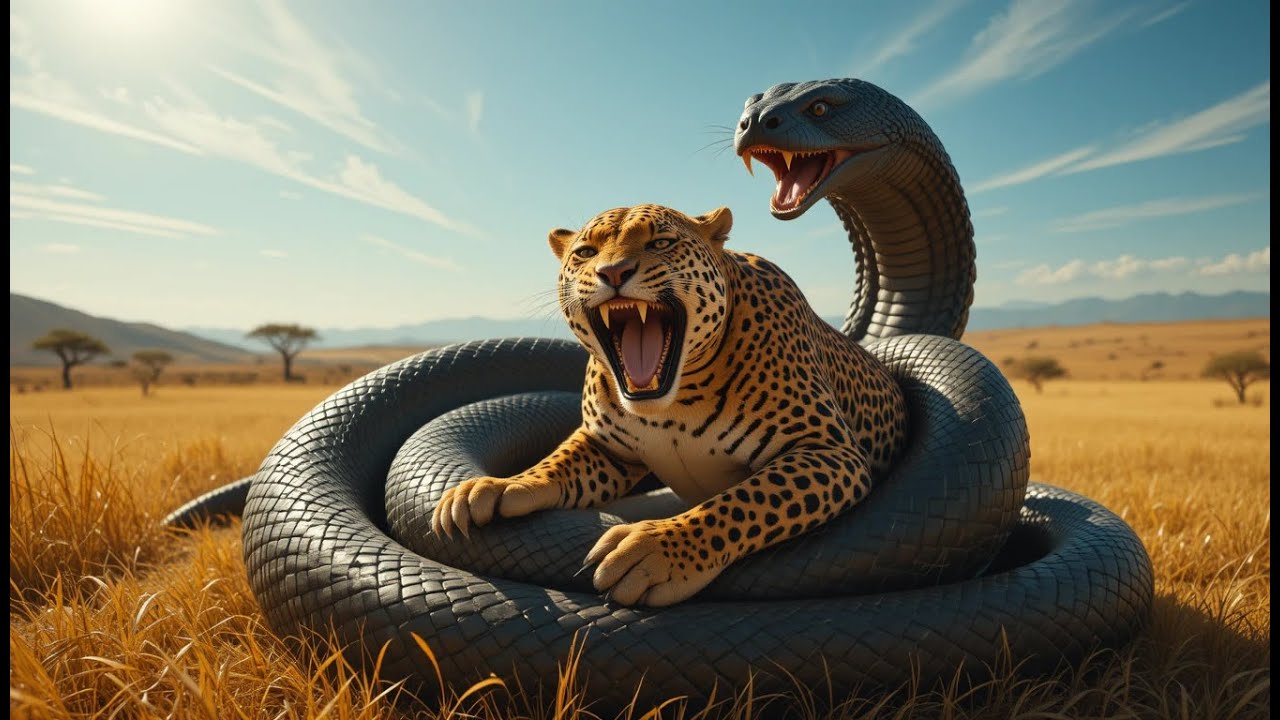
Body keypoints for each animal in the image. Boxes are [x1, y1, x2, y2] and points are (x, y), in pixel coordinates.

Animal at [432, 203, 906, 607]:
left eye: (660, 243)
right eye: (586, 252)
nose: (613, 272)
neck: (674, 404)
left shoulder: (828, 450)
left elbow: (745, 500)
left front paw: (657, 549)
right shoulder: (608, 447)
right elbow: (556, 462)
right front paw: (500, 485)